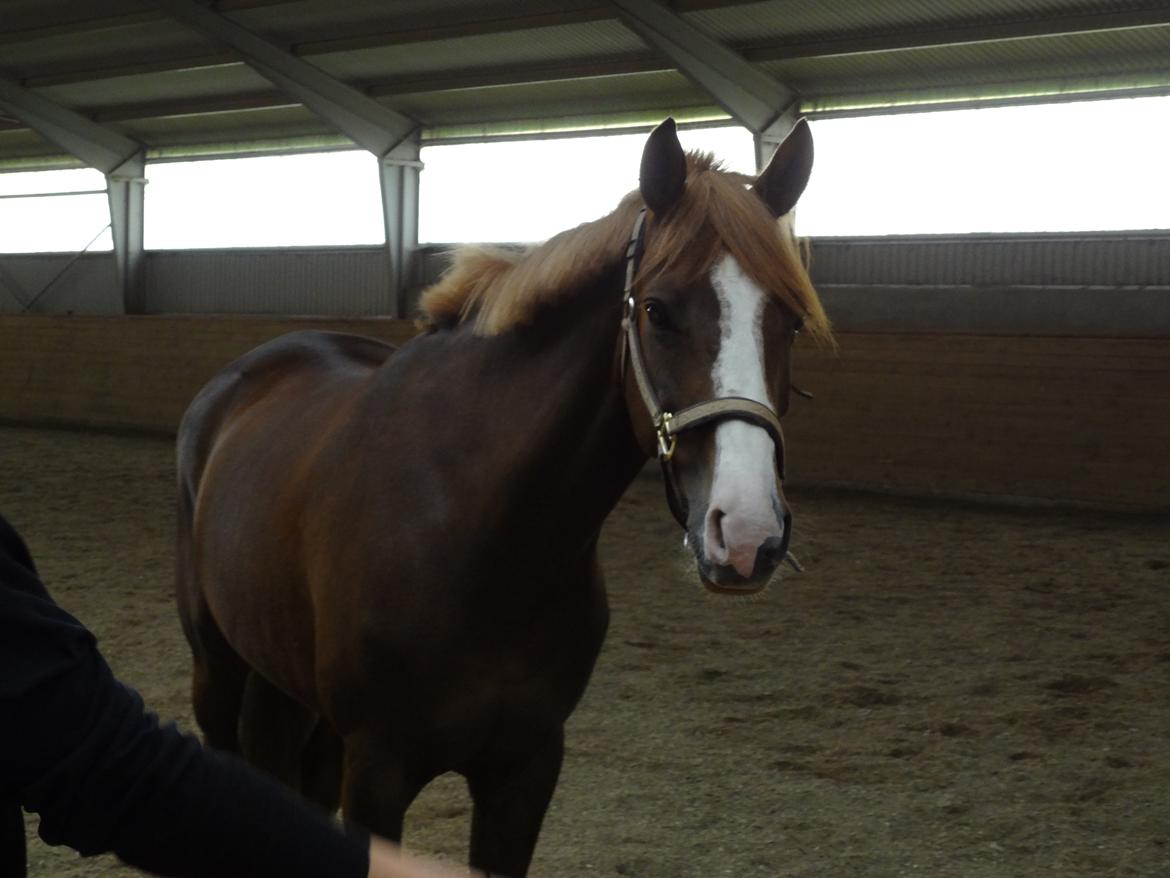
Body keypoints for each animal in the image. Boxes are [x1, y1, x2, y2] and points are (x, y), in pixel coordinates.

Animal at [175, 117, 830, 877]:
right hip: (217, 670)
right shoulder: (378, 772)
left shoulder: (525, 768)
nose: (748, 534)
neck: (483, 535)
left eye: (789, 319)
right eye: (657, 311)